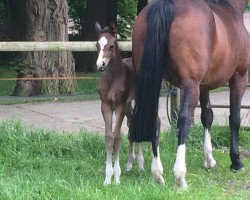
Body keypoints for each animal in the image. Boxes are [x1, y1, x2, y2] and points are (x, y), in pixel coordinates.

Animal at [95, 22, 146, 185]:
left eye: (111, 45)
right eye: (97, 44)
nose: (100, 65)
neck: (112, 78)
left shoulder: (120, 106)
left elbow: (117, 138)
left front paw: (116, 177)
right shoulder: (105, 105)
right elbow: (109, 138)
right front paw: (107, 178)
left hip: (136, 103)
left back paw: (141, 165)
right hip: (130, 107)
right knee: (132, 128)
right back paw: (130, 164)